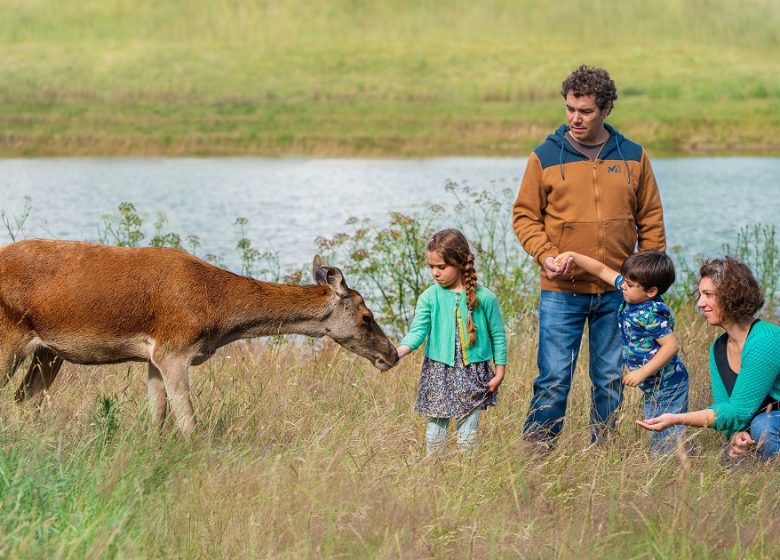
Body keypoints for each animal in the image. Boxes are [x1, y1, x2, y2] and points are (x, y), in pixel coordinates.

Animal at [0, 238, 400, 436]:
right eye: (367, 316)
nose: (392, 354)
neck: (218, 315)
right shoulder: (174, 349)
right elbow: (189, 422)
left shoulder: (154, 357)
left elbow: (157, 417)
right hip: (9, 339)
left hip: (48, 353)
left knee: (24, 400)